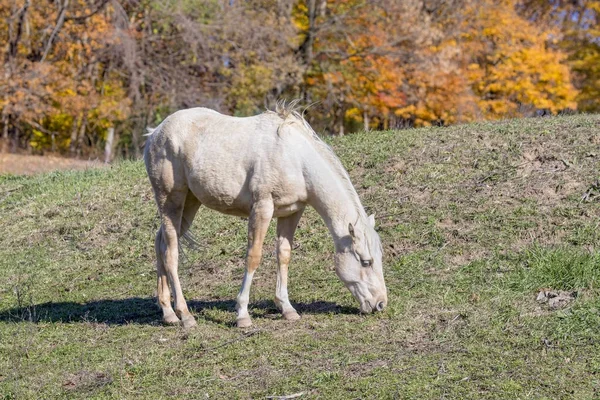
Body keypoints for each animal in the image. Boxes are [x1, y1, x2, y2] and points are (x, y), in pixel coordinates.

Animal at [145, 104, 390, 328]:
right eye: (366, 262)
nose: (380, 304)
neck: (295, 158)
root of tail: (155, 132)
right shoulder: (262, 208)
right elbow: (254, 256)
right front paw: (242, 314)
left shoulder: (292, 212)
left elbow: (284, 255)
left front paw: (287, 309)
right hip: (171, 200)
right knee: (171, 253)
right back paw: (185, 315)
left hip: (190, 203)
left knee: (160, 243)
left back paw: (168, 313)